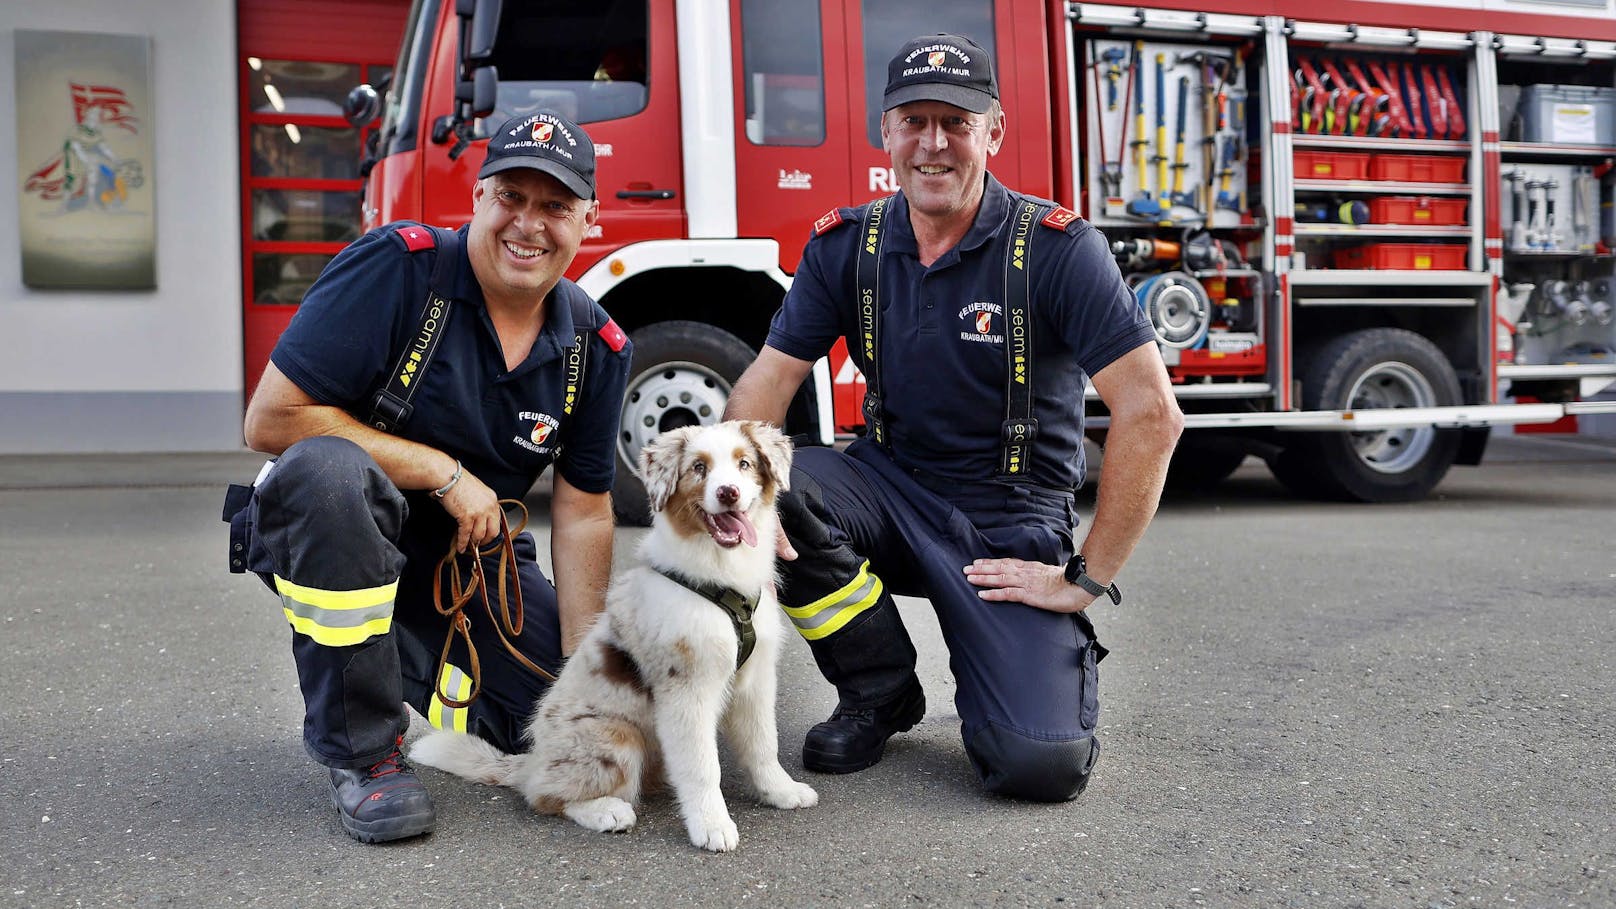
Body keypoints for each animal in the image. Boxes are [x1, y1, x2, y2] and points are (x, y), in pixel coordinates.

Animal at [410, 417, 820, 847]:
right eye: (698, 468)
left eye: (744, 464)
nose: (729, 493)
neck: (720, 577)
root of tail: (533, 761)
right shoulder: (686, 689)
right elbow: (702, 765)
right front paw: (712, 826)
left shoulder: (755, 680)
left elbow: (764, 743)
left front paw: (781, 791)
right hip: (613, 737)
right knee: (547, 796)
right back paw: (607, 811)